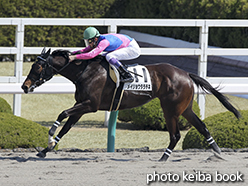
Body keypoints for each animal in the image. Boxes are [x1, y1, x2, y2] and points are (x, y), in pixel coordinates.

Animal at [21, 48, 240, 161]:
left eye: (37, 67)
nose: (24, 86)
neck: (85, 71)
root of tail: (186, 73)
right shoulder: (81, 106)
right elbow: (66, 127)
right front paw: (46, 149)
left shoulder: (90, 105)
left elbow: (62, 114)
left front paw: (50, 136)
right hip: (185, 108)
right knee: (202, 126)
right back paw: (218, 152)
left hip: (170, 109)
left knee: (176, 135)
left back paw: (163, 158)